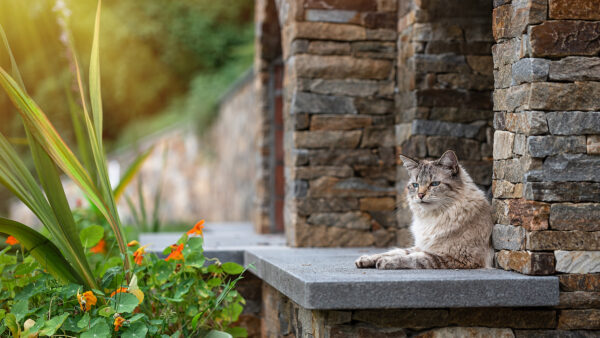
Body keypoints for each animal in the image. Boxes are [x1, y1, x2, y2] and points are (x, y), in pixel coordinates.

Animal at [356, 151, 492, 270]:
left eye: (434, 184)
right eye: (415, 185)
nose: (420, 195)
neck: (432, 217)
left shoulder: (454, 257)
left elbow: (413, 258)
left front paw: (385, 262)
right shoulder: (422, 246)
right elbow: (395, 251)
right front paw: (365, 260)